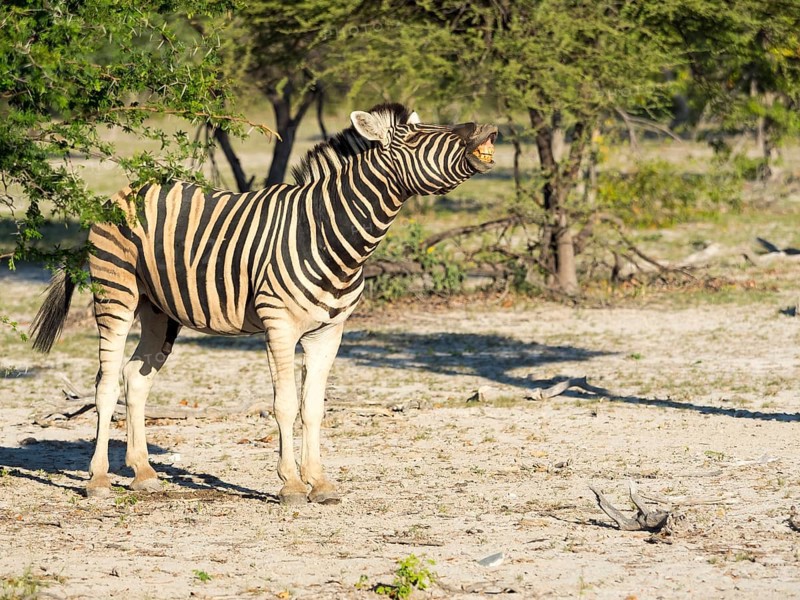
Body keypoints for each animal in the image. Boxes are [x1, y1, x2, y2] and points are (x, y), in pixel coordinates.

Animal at [30, 103, 497, 505]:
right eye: (415, 136)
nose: (488, 128)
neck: (328, 232)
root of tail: (122, 191)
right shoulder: (279, 325)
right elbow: (285, 405)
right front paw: (290, 484)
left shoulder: (329, 332)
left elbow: (314, 408)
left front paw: (320, 483)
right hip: (116, 292)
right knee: (106, 382)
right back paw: (98, 481)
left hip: (159, 309)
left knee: (136, 377)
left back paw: (144, 473)